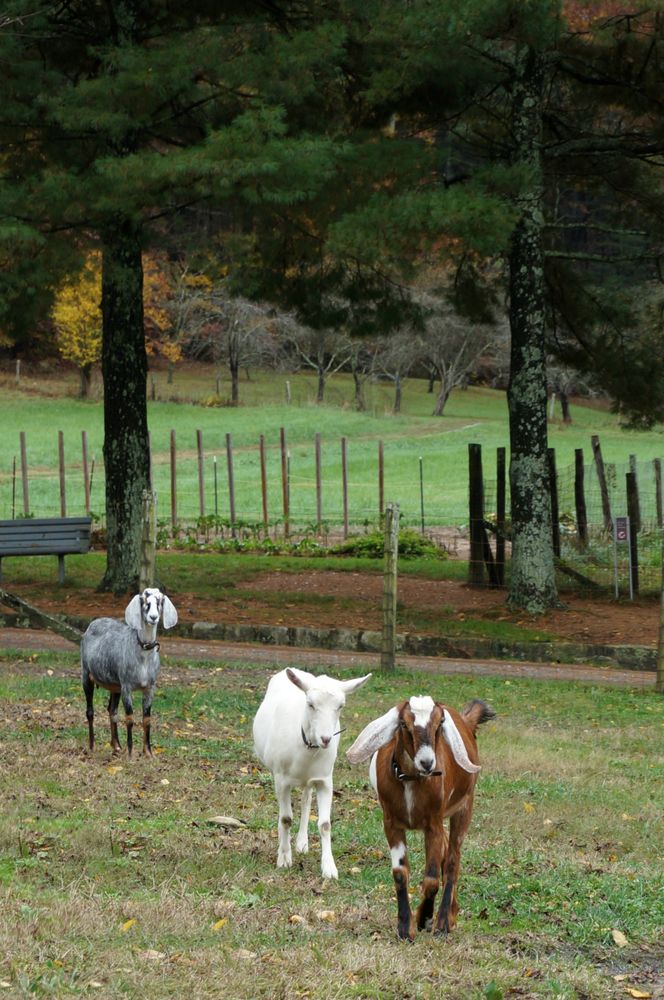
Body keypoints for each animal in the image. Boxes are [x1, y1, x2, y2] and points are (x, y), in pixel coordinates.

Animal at [81, 588, 178, 757]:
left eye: (159, 601)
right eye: (144, 601)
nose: (153, 617)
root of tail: (93, 623)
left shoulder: (150, 687)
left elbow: (147, 719)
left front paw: (148, 753)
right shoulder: (127, 686)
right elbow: (130, 718)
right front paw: (130, 754)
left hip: (115, 686)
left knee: (112, 711)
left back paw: (116, 746)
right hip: (86, 675)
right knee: (90, 711)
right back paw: (92, 746)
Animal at [253, 667, 371, 879]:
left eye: (341, 706)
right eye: (310, 704)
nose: (325, 739)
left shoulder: (325, 780)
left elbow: (325, 824)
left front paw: (329, 868)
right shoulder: (281, 780)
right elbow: (285, 818)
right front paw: (284, 859)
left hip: (309, 780)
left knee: (306, 799)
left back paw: (302, 843)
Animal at [347, 695, 494, 940]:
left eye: (440, 723)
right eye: (403, 724)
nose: (427, 762)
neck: (411, 779)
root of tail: (467, 721)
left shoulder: (433, 824)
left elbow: (432, 879)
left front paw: (424, 918)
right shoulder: (391, 824)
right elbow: (399, 873)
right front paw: (405, 928)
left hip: (464, 807)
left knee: (452, 860)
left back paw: (443, 922)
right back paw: (451, 914)